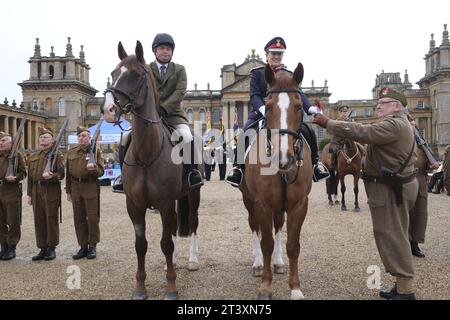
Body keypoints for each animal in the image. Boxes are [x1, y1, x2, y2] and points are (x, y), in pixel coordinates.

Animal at [102, 40, 202, 300]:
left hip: (193, 193)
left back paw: (192, 261)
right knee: (175, 226)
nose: (108, 109)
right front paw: (140, 287)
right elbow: (141, 245)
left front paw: (171, 288)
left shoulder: (165, 202)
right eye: (113, 74)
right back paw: (173, 262)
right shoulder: (134, 205)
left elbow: (165, 243)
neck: (147, 153)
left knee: (193, 223)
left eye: (136, 75)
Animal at [239, 63, 312, 300]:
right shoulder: (261, 204)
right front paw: (265, 286)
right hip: (249, 201)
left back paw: (279, 263)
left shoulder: (299, 205)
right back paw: (258, 264)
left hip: (280, 206)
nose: (284, 158)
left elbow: (293, 245)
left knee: (278, 227)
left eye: (299, 106)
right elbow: (266, 243)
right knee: (254, 227)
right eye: (268, 107)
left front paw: (295, 288)